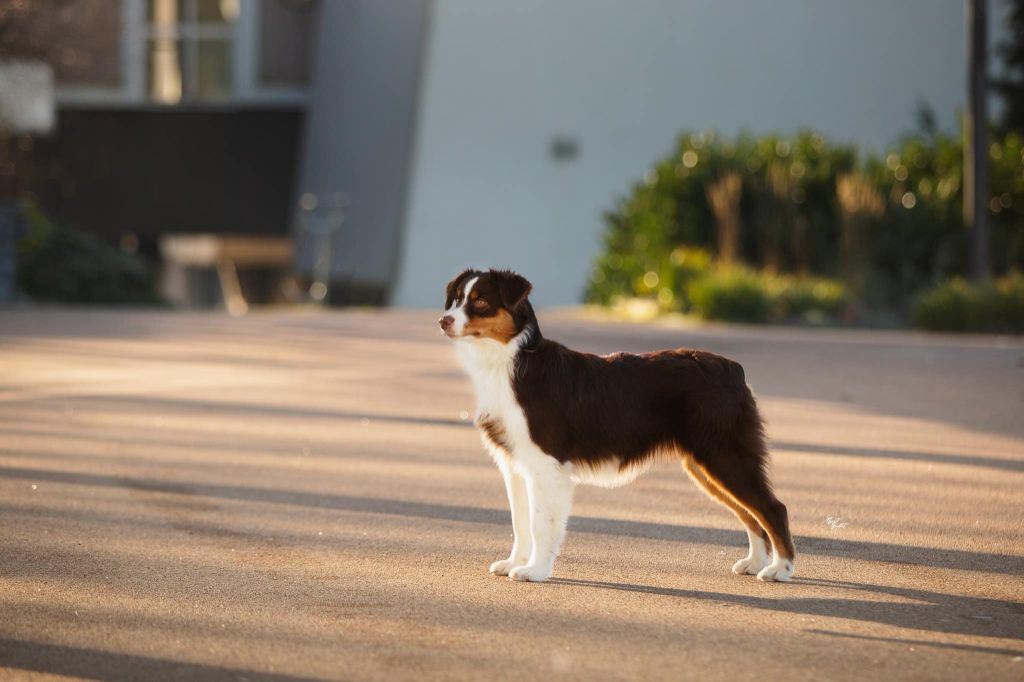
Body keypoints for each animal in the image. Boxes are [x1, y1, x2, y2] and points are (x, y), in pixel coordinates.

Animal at [436, 268, 794, 581]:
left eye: (481, 301)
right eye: (456, 299)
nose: (442, 321)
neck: (509, 362)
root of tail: (734, 369)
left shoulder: (547, 464)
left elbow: (540, 523)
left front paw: (534, 571)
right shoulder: (515, 464)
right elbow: (519, 522)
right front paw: (514, 563)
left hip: (724, 456)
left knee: (772, 508)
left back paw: (780, 569)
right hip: (706, 464)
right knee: (748, 513)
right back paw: (755, 562)